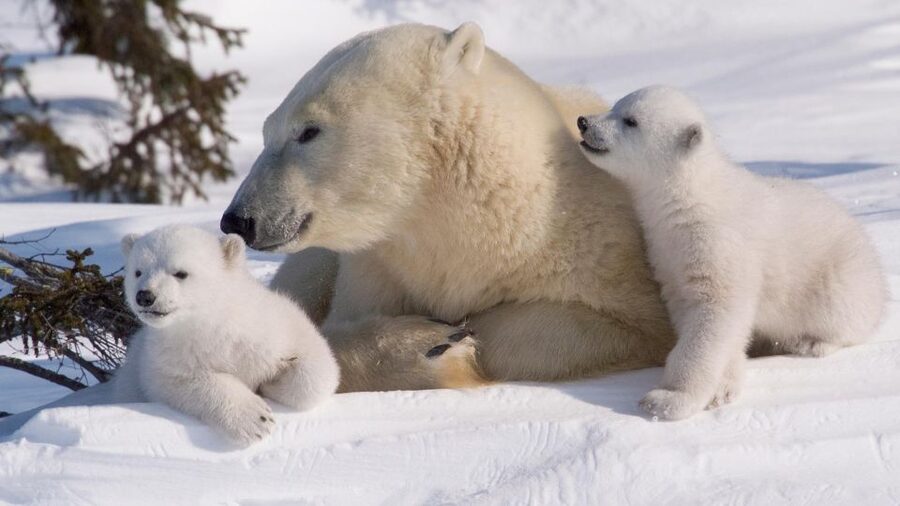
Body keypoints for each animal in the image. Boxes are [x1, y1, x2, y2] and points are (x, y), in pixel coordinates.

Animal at [114, 224, 340, 445]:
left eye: (180, 273)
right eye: (138, 272)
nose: (145, 296)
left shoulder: (273, 327)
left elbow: (317, 366)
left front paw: (272, 384)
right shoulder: (166, 356)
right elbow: (181, 381)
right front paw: (256, 419)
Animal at [219, 22, 677, 393]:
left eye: (308, 131)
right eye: (267, 130)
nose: (239, 218)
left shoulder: (600, 251)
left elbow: (618, 324)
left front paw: (455, 339)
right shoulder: (379, 267)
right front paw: (427, 345)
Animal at [576, 85, 887, 419]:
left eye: (631, 120)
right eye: (616, 105)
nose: (583, 122)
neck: (690, 199)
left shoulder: (719, 245)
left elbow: (714, 313)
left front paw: (667, 399)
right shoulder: (668, 254)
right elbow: (703, 317)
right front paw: (722, 388)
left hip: (839, 277)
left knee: (841, 314)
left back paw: (812, 343)